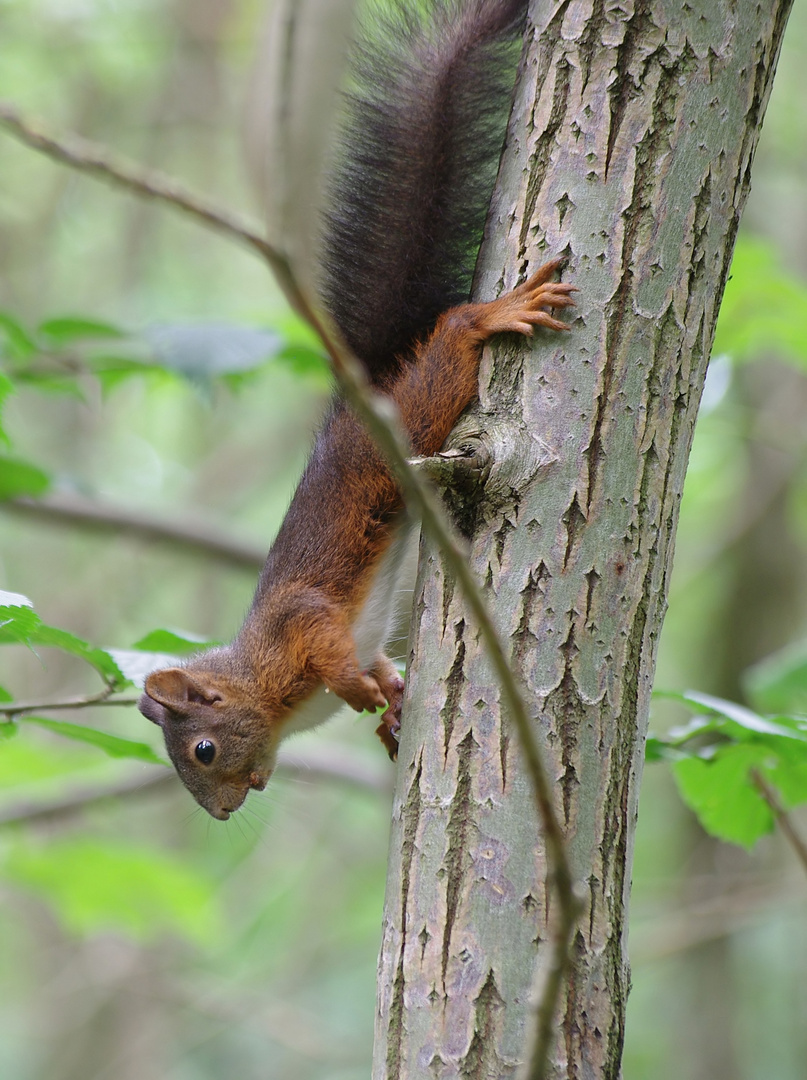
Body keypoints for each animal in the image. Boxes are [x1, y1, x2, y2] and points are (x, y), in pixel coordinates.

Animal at [141, 0, 579, 820]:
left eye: (203, 749)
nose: (224, 811)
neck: (262, 685)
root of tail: (360, 401)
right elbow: (378, 665)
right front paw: (389, 706)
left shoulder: (296, 624)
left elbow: (328, 642)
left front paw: (356, 691)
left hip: (416, 414)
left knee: (447, 348)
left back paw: (486, 317)